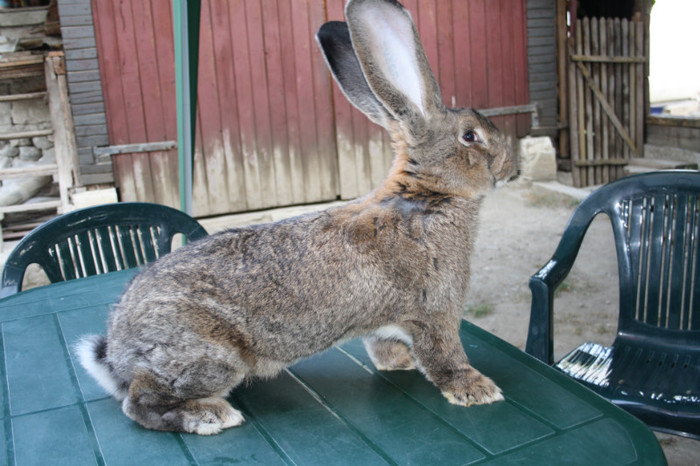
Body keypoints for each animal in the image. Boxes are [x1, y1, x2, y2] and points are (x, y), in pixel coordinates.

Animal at [76, 0, 516, 436]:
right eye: (470, 136)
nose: (510, 165)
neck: (426, 195)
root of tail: (116, 356)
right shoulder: (434, 310)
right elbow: (445, 356)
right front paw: (477, 390)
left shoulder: (388, 322)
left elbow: (384, 345)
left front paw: (399, 363)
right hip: (210, 358)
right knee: (140, 404)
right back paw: (210, 416)